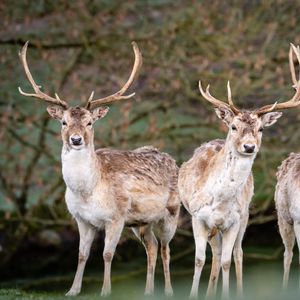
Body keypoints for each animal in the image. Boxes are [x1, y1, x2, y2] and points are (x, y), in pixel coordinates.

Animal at [17, 41, 179, 296]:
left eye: (89, 122)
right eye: (63, 122)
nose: (75, 139)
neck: (87, 191)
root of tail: (172, 159)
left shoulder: (116, 217)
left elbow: (107, 254)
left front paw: (105, 291)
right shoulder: (82, 219)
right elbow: (82, 254)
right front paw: (72, 290)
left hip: (172, 213)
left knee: (165, 249)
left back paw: (170, 291)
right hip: (141, 222)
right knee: (152, 247)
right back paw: (148, 291)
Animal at [177, 43, 300, 298]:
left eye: (261, 129)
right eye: (234, 126)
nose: (249, 146)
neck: (220, 200)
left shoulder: (234, 220)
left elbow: (228, 261)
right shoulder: (197, 216)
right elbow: (198, 260)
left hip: (244, 216)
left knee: (236, 253)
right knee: (214, 254)